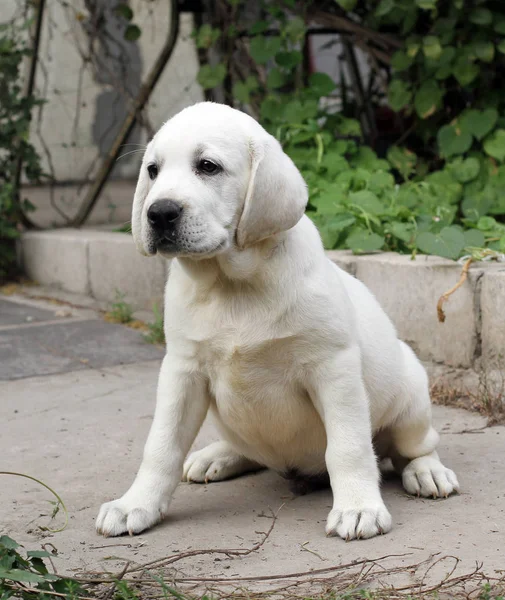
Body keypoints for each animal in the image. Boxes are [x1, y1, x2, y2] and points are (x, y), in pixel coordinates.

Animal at [94, 102, 456, 540]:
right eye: (152, 170)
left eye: (208, 166)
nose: (159, 212)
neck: (231, 284)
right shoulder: (182, 370)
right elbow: (161, 446)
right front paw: (136, 504)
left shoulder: (333, 368)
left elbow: (348, 446)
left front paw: (358, 507)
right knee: (249, 450)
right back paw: (217, 456)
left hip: (411, 397)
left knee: (412, 448)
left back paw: (427, 472)